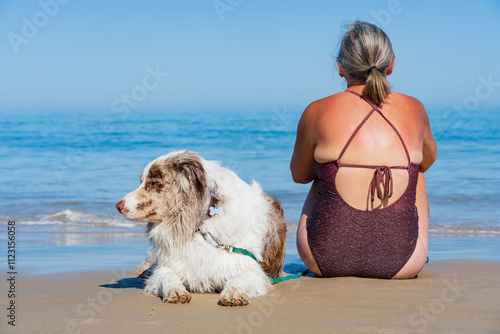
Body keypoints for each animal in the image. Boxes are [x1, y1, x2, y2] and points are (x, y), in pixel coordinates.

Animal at [114, 151, 286, 306]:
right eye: (142, 181)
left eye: (154, 183)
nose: (118, 206)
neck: (200, 223)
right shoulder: (170, 264)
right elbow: (165, 273)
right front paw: (175, 290)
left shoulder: (250, 268)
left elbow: (240, 278)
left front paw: (233, 292)